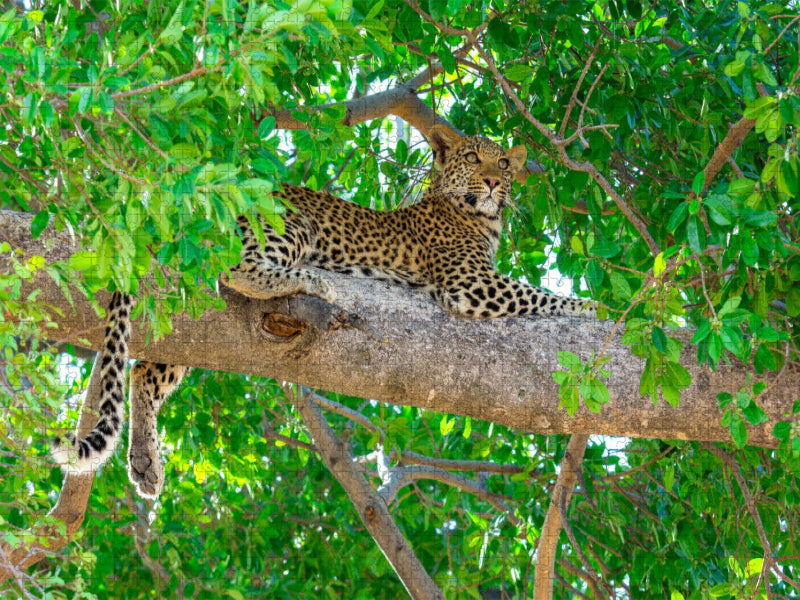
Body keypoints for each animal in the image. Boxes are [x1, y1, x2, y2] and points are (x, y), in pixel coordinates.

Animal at [52, 125, 594, 499]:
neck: (481, 217)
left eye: (503, 162)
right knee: (237, 269)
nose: (492, 181)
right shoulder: (469, 284)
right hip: (292, 225)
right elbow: (541, 294)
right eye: (471, 157)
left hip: (189, 329)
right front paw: (596, 307)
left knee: (144, 371)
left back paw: (145, 462)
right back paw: (308, 280)